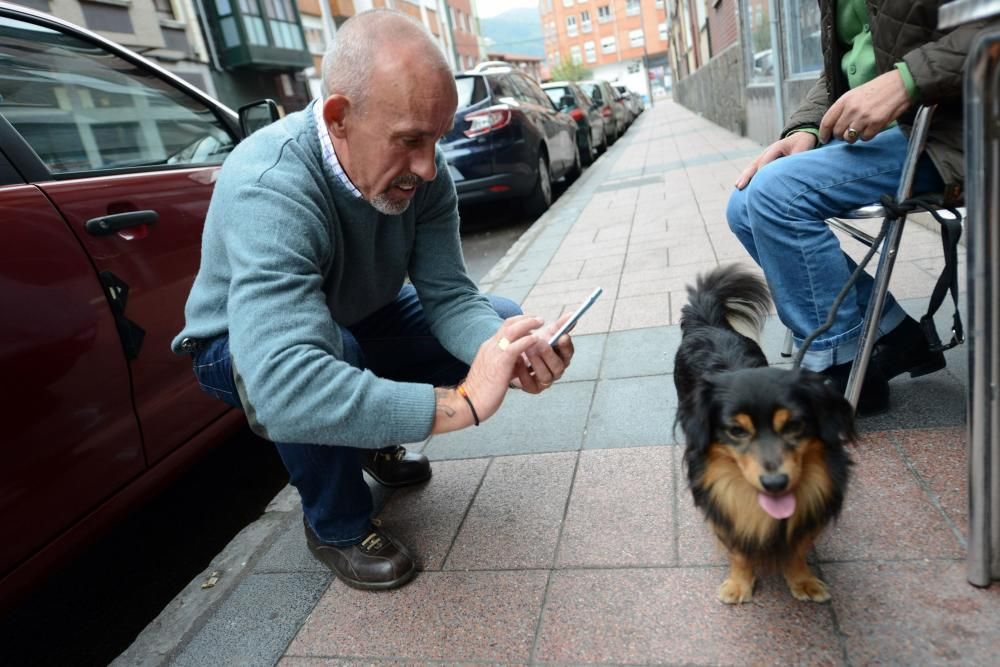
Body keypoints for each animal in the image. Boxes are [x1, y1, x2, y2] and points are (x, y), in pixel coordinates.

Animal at [672, 268, 852, 604]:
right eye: (736, 431)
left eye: (794, 425)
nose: (775, 483)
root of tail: (707, 322)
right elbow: (739, 552)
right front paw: (739, 585)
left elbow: (797, 549)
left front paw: (803, 581)